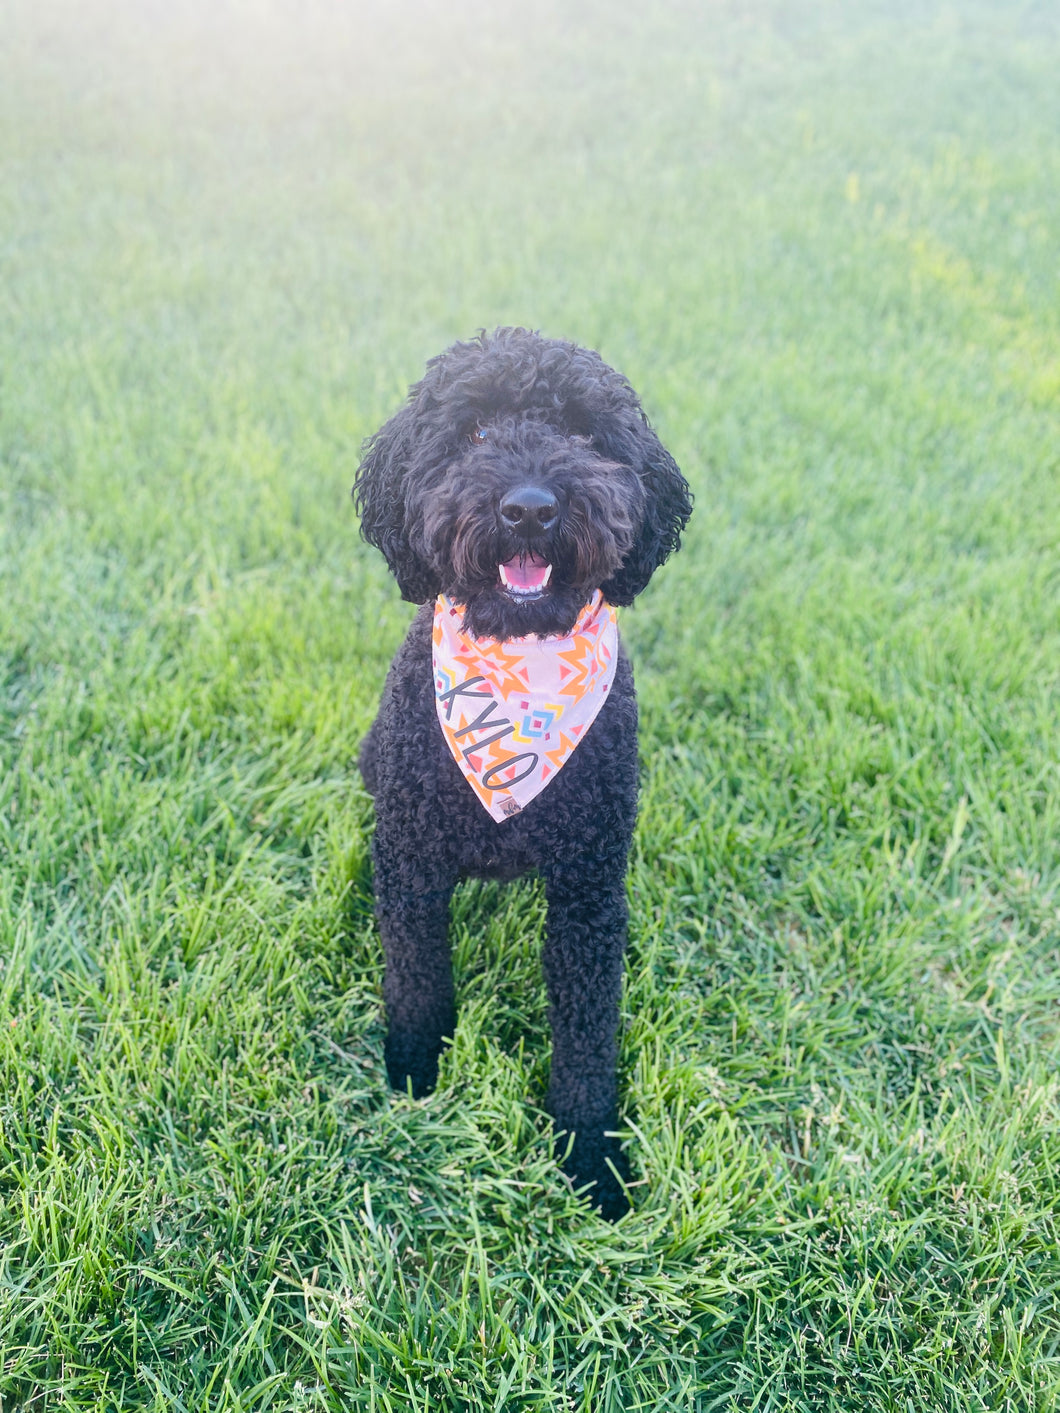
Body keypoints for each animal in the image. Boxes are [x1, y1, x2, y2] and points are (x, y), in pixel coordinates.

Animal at [353, 327, 692, 1215]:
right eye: (473, 432)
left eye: (582, 433)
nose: (531, 507)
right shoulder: (411, 861)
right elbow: (415, 976)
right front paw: (416, 1072)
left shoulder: (588, 890)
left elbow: (586, 1033)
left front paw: (589, 1155)